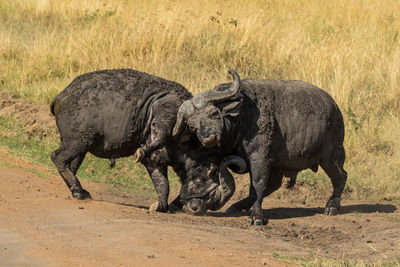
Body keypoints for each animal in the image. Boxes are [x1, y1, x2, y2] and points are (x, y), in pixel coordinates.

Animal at [50, 69, 244, 214]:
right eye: (212, 170)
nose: (212, 201)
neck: (187, 141)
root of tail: (62, 96)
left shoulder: (154, 162)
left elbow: (163, 185)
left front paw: (160, 205)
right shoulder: (165, 111)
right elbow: (161, 134)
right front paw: (140, 150)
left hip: (80, 147)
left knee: (70, 164)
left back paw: (78, 190)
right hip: (78, 142)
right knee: (57, 157)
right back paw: (78, 191)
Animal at [173, 70, 348, 225]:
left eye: (213, 113)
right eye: (193, 126)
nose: (209, 138)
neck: (240, 123)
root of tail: (334, 107)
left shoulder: (259, 159)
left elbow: (258, 184)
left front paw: (256, 216)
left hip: (331, 157)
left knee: (341, 176)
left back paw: (332, 206)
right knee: (275, 184)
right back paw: (237, 206)